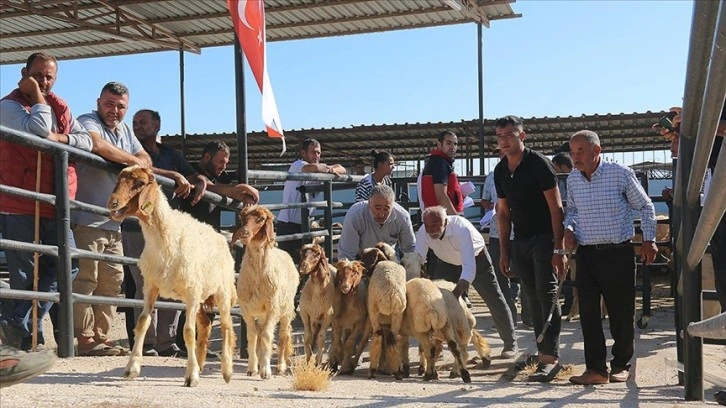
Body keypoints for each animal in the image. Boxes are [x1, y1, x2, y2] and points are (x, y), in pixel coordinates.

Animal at [106, 165, 237, 386]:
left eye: (140, 183)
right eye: (118, 180)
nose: (112, 203)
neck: (165, 234)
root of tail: (220, 235)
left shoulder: (191, 292)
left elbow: (188, 332)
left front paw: (191, 376)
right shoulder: (150, 286)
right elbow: (142, 323)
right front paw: (132, 368)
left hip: (222, 291)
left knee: (226, 325)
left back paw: (227, 371)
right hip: (202, 296)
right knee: (205, 325)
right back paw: (201, 364)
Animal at [233, 207, 302, 380]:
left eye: (261, 219)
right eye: (242, 218)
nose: (244, 232)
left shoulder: (272, 308)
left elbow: (266, 336)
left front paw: (265, 371)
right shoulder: (246, 310)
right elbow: (252, 336)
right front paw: (252, 368)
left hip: (286, 308)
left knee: (284, 335)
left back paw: (280, 367)